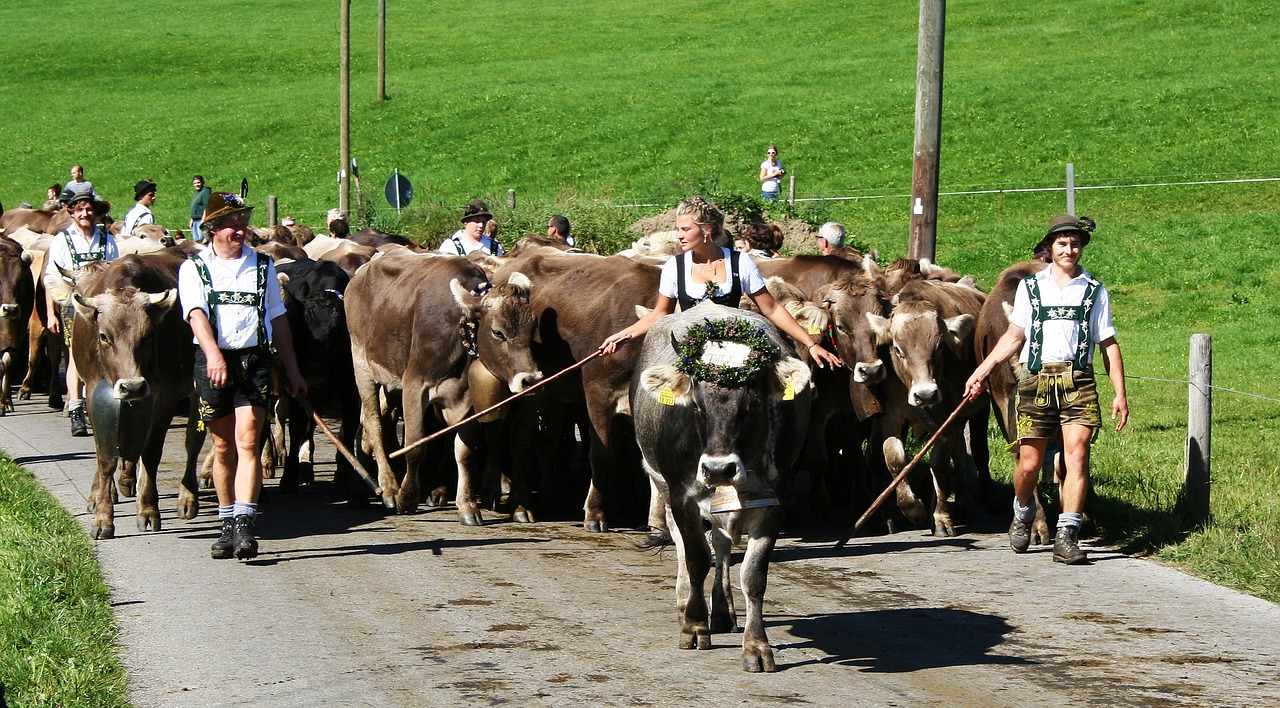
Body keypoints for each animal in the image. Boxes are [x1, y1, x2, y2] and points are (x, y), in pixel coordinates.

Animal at [70, 248, 197, 535]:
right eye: (104, 336)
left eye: (149, 335)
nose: (133, 386)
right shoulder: (94, 392)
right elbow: (105, 456)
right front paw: (103, 515)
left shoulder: (164, 398)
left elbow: (150, 454)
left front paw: (148, 510)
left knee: (193, 442)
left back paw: (187, 499)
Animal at [345, 250, 540, 522]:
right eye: (498, 332)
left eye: (532, 328)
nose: (530, 379)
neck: (456, 332)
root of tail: (363, 271)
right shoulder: (414, 384)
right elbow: (415, 446)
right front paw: (407, 497)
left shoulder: (465, 398)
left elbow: (464, 452)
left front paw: (467, 505)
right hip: (362, 365)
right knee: (373, 422)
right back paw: (388, 487)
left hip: (390, 382)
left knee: (369, 421)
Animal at [632, 302, 819, 665]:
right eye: (696, 404)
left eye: (754, 403)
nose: (719, 469)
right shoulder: (682, 496)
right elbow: (695, 559)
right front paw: (694, 627)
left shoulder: (776, 502)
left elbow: (753, 575)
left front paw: (757, 646)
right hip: (661, 483)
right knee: (683, 545)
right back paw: (686, 603)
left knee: (720, 546)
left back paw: (721, 610)